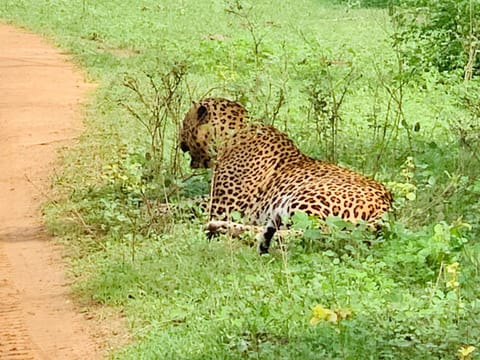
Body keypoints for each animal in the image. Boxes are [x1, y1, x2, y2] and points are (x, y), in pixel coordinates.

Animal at [178, 97, 392, 255]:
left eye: (183, 122)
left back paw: (217, 227)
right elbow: (190, 201)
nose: (179, 139)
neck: (230, 136)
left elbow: (187, 206)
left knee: (306, 232)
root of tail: (388, 207)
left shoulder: (224, 208)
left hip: (304, 198)